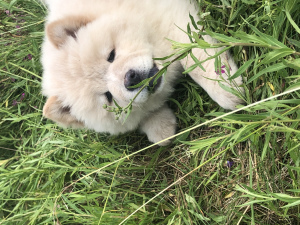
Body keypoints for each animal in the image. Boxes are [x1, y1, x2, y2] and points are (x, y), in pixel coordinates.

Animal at [41, 0, 244, 146]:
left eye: (111, 55)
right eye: (108, 96)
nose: (131, 79)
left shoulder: (170, 17)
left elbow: (193, 55)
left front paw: (227, 88)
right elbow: (146, 113)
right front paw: (161, 128)